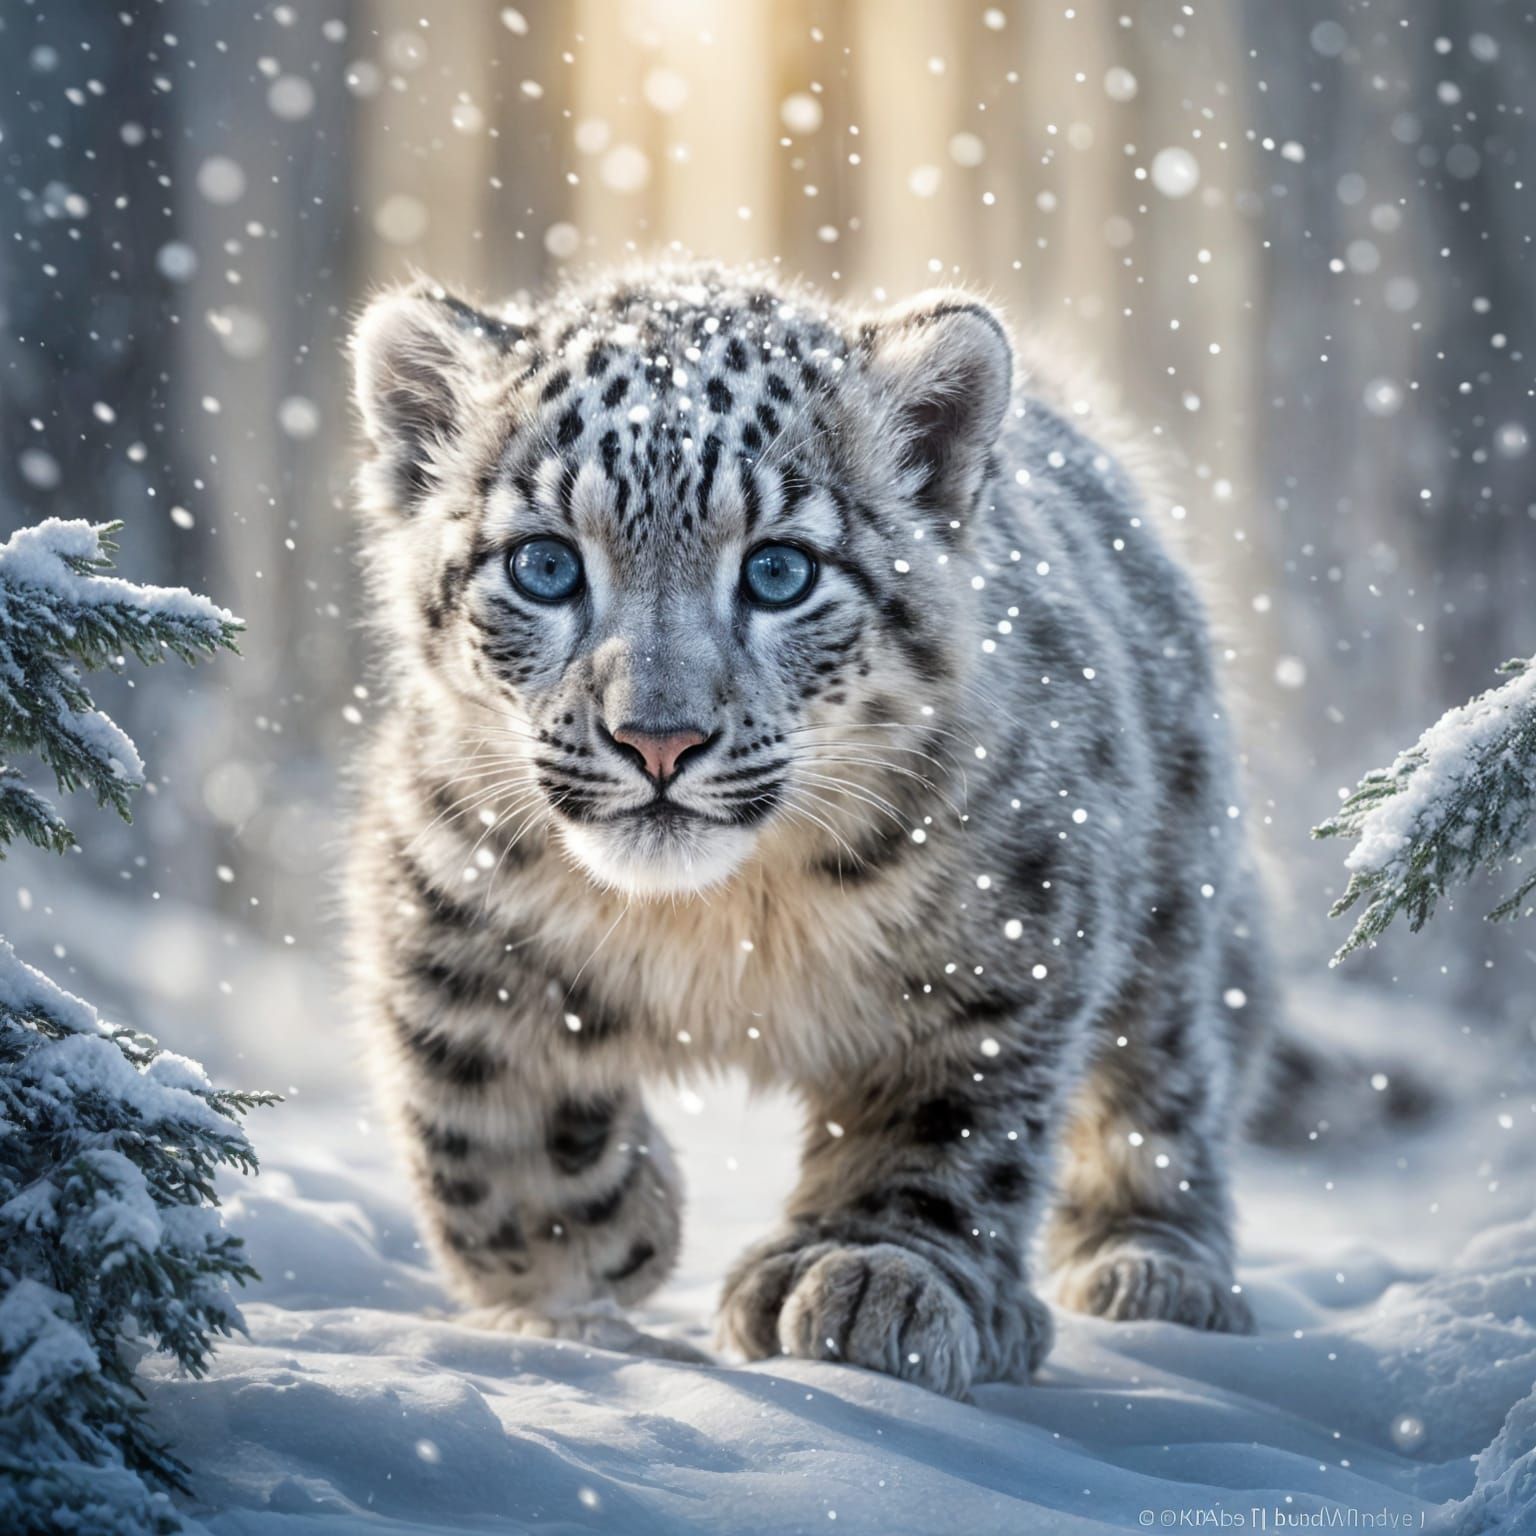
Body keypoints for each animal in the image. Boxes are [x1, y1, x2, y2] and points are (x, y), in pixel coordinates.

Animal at [344, 260, 1286, 1399]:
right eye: (544, 566)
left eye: (780, 571)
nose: (658, 739)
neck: (720, 917)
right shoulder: (445, 896)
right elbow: (478, 1108)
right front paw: (594, 1260)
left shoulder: (1006, 936)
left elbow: (943, 1123)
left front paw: (870, 1271)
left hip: (1174, 897)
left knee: (1166, 1079)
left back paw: (1151, 1265)